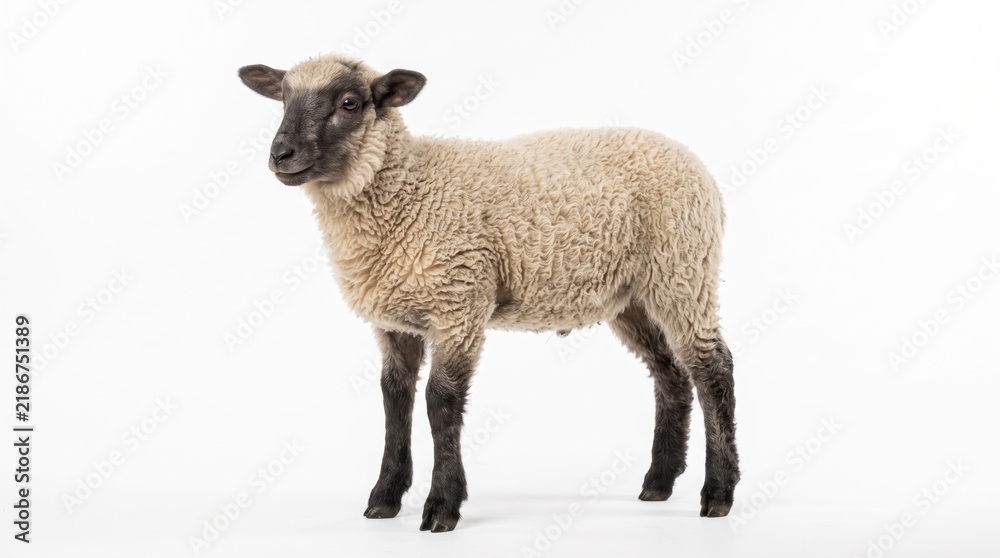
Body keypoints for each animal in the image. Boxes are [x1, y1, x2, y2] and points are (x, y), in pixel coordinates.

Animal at [238, 54, 739, 533]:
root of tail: (688, 158)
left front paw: (442, 507)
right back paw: (659, 483)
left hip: (682, 268)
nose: (281, 154)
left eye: (349, 103)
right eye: (283, 99)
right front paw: (384, 497)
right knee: (670, 372)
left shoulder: (460, 302)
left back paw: (718, 493)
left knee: (712, 368)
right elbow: (394, 398)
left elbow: (440, 402)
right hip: (632, 295)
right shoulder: (394, 321)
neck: (407, 192)